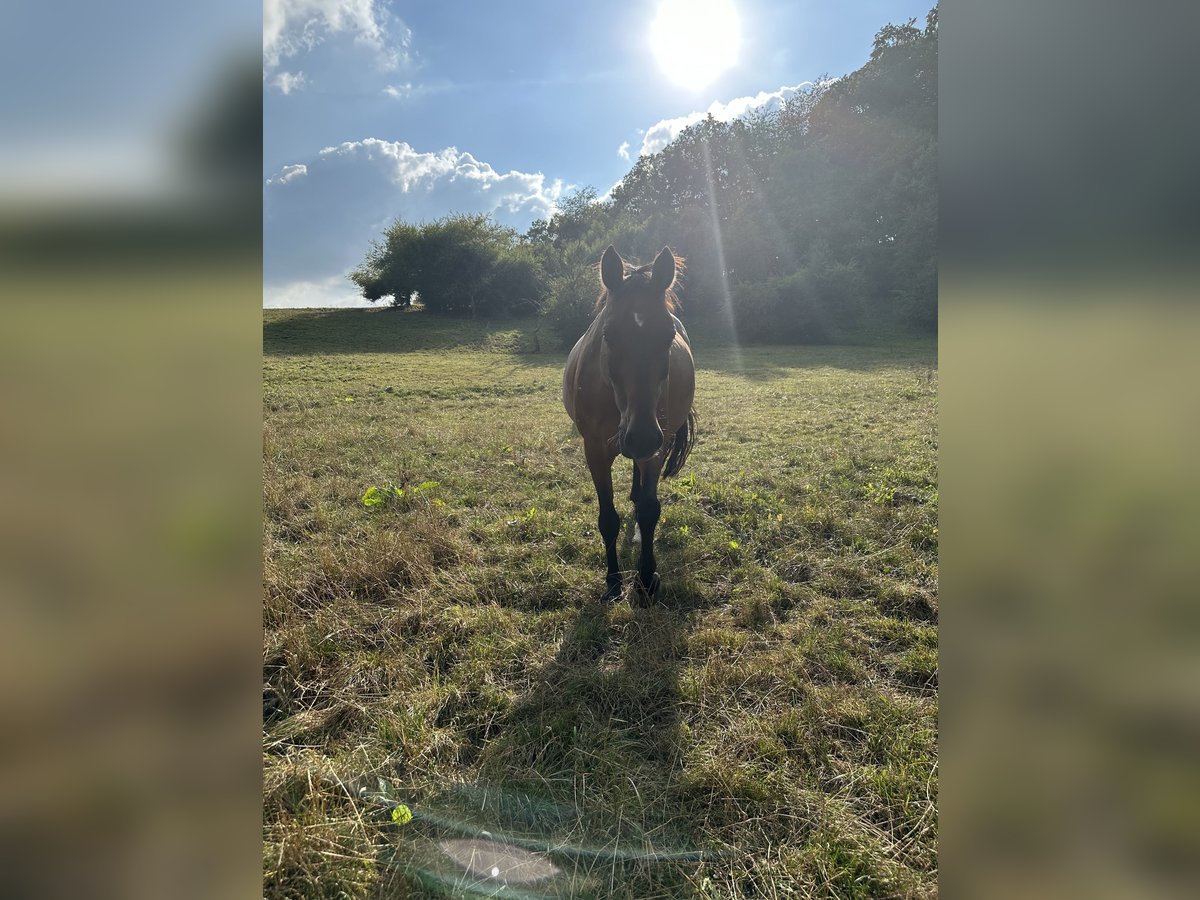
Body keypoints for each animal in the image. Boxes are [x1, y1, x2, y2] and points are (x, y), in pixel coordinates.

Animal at [564, 243, 700, 602]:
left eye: (668, 336)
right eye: (609, 335)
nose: (640, 437)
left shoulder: (658, 444)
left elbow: (651, 510)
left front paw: (646, 580)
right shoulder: (595, 451)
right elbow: (608, 519)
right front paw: (613, 581)